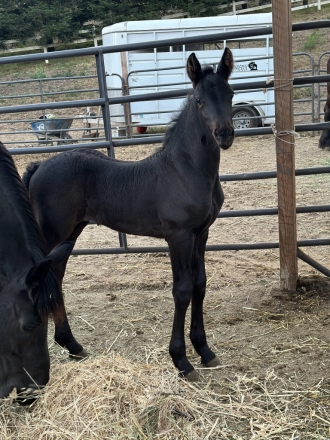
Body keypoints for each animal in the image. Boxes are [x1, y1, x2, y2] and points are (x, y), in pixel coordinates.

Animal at [22, 47, 235, 378]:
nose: (224, 134)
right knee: (46, 277)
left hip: (70, 232)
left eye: (231, 94)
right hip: (53, 231)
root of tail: (39, 165)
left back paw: (72, 344)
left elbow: (200, 285)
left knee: (55, 276)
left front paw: (204, 350)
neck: (186, 169)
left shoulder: (201, 234)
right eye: (199, 100)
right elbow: (182, 290)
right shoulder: (178, 236)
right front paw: (181, 360)